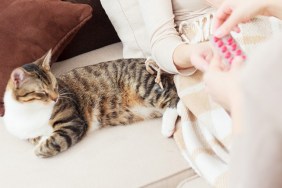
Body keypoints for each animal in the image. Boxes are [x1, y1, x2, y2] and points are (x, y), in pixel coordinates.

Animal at [2, 50, 178, 158]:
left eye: (55, 86)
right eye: (42, 92)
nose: (56, 98)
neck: (29, 112)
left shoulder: (73, 122)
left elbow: (51, 143)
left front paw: (38, 149)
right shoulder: (30, 135)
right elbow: (39, 138)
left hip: (143, 86)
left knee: (175, 98)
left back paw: (167, 127)